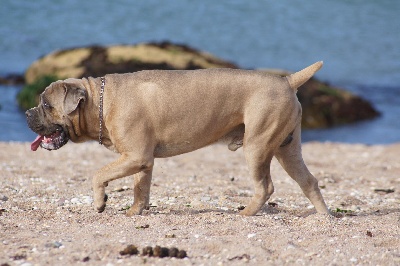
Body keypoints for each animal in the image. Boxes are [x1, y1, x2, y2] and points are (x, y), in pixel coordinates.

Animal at [26, 61, 330, 216]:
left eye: (46, 104)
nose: (28, 113)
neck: (100, 102)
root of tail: (287, 81)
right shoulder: (142, 161)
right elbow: (140, 188)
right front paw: (135, 212)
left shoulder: (135, 156)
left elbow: (98, 174)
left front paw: (100, 202)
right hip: (287, 150)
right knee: (309, 181)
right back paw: (325, 217)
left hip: (257, 148)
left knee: (265, 186)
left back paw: (245, 214)